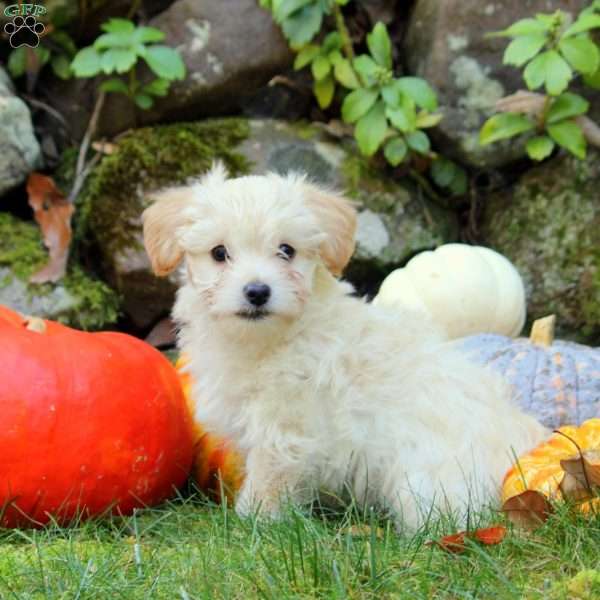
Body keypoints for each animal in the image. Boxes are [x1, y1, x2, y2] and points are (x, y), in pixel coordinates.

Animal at [143, 165, 548, 528]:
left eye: (286, 250)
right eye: (219, 253)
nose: (257, 291)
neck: (266, 339)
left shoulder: (286, 428)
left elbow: (271, 475)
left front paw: (254, 519)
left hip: (426, 480)